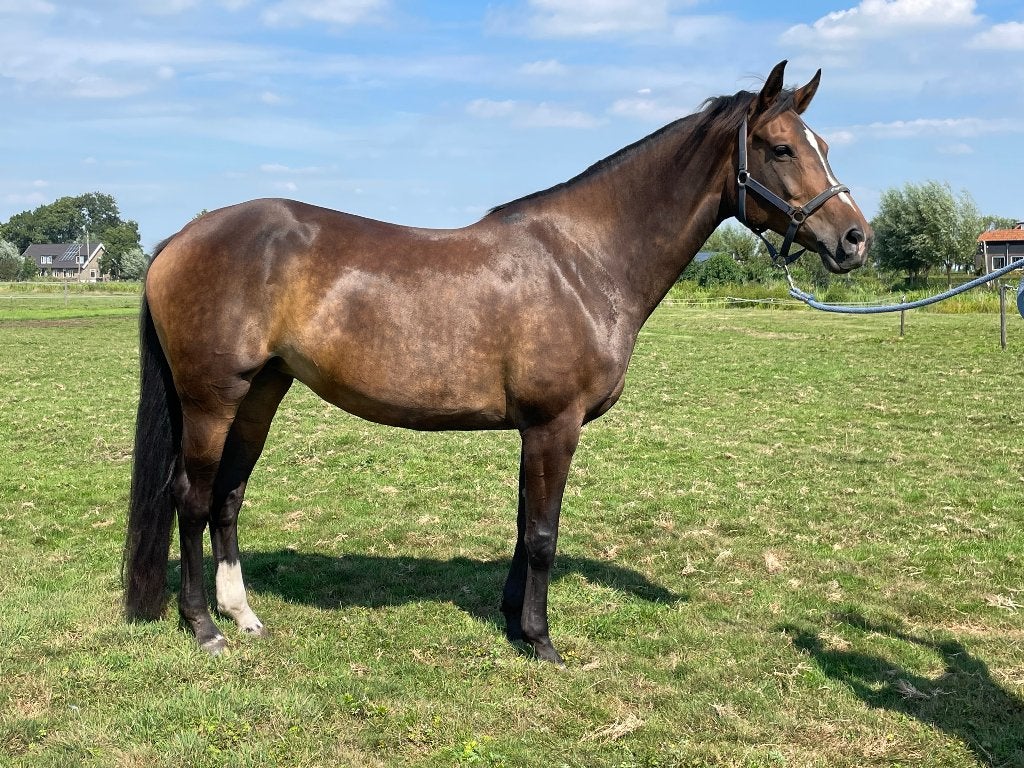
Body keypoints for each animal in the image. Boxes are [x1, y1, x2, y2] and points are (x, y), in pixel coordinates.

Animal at [124, 60, 871, 664]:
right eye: (780, 148)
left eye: (825, 147)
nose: (855, 239)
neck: (584, 260)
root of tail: (180, 238)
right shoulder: (553, 425)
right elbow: (541, 533)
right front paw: (541, 641)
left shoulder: (535, 430)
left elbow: (522, 525)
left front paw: (514, 621)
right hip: (212, 399)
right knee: (191, 497)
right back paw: (203, 628)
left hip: (260, 393)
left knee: (228, 496)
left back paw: (243, 615)